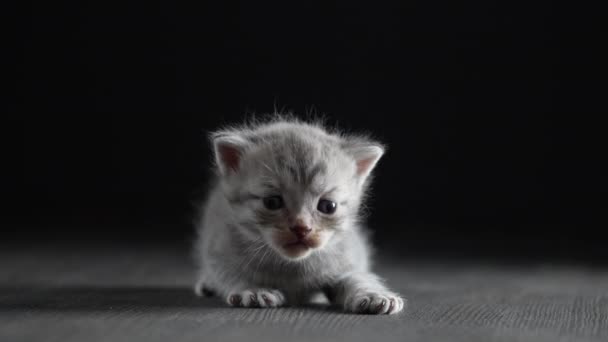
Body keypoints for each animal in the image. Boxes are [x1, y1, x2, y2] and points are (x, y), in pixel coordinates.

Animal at [194, 118, 404, 316]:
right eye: (272, 202)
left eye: (328, 206)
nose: (301, 228)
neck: (290, 266)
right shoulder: (218, 247)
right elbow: (229, 274)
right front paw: (252, 289)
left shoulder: (346, 257)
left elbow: (356, 276)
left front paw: (373, 294)